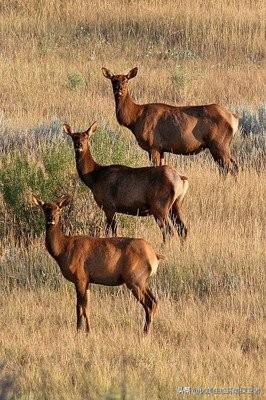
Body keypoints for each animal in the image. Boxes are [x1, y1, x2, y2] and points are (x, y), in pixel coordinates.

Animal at [32, 194, 161, 334]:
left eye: (58, 209)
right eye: (45, 208)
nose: (51, 219)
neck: (62, 249)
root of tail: (154, 256)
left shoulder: (80, 276)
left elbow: (80, 307)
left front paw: (82, 330)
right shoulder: (87, 280)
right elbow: (86, 306)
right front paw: (86, 329)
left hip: (135, 278)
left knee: (149, 303)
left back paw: (145, 332)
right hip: (142, 280)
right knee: (154, 301)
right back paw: (146, 330)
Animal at [101, 66, 239, 174]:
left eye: (126, 80)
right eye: (113, 80)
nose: (118, 89)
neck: (135, 119)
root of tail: (234, 119)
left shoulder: (154, 145)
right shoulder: (161, 148)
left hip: (219, 143)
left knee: (230, 168)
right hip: (221, 145)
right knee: (230, 167)